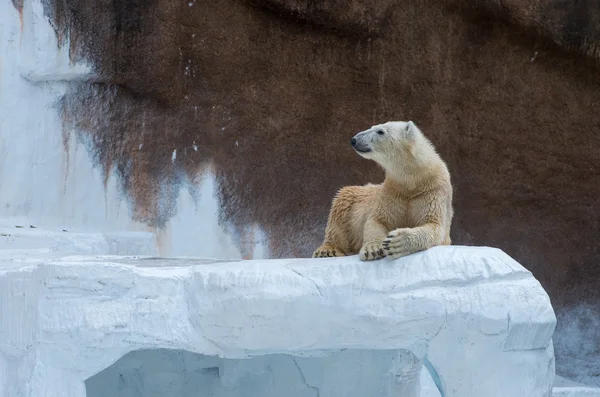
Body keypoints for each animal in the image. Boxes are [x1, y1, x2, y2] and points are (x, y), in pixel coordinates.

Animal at [314, 120, 450, 260]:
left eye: (380, 131)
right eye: (372, 127)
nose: (354, 140)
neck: (413, 180)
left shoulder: (433, 191)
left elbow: (433, 225)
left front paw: (395, 242)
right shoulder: (393, 191)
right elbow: (377, 220)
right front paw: (373, 249)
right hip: (350, 200)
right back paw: (327, 250)